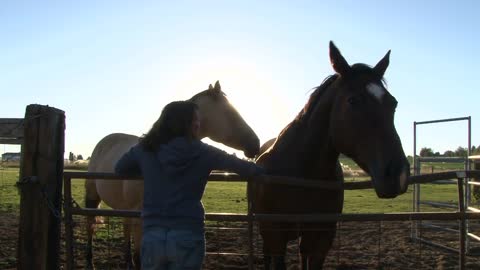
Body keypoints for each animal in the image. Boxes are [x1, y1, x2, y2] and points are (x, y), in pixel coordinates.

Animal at [85, 80, 258, 270]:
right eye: (231, 112)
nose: (256, 144)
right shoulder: (139, 219)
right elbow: (140, 258)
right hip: (93, 196)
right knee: (90, 226)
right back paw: (90, 262)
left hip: (124, 208)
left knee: (125, 229)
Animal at [255, 41, 408, 268]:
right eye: (353, 101)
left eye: (393, 103)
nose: (399, 174)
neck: (303, 174)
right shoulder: (275, 237)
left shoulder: (322, 237)